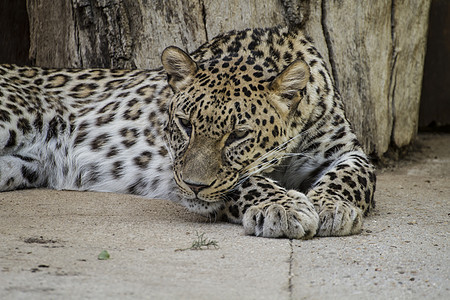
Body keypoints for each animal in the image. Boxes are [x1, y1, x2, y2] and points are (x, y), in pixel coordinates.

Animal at [0, 27, 376, 240]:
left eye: (238, 134)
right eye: (185, 124)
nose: (194, 186)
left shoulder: (346, 150)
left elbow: (353, 175)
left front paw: (331, 206)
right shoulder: (172, 162)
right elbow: (245, 180)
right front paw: (282, 208)